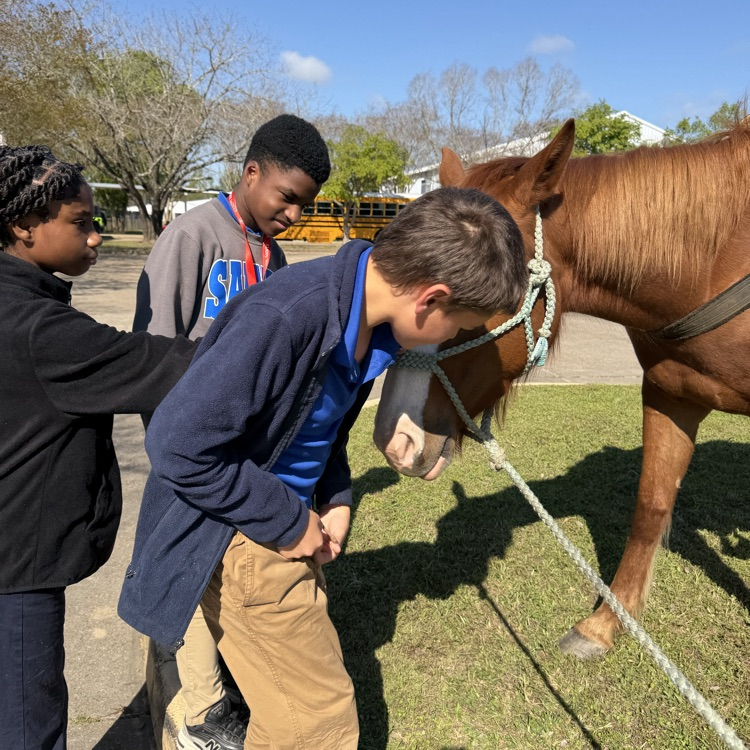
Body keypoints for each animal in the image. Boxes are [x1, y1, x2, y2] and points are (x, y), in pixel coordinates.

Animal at [373, 119, 750, 658]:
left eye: (467, 303)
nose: (394, 438)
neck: (714, 265)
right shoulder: (669, 394)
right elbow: (650, 506)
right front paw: (606, 624)